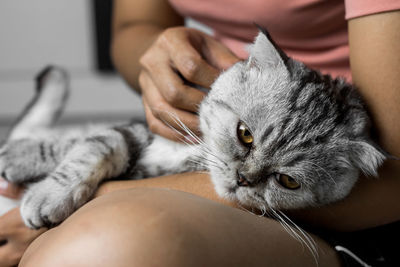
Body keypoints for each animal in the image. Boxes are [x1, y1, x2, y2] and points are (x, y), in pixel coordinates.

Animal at [0, 29, 388, 230]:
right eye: (245, 134)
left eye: (287, 181)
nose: (243, 179)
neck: (192, 151)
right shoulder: (140, 132)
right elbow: (91, 144)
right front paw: (34, 172)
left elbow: (93, 144)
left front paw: (42, 193)